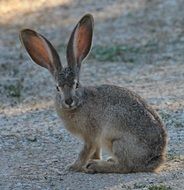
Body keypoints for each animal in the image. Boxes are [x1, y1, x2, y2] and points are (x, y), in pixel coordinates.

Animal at [19, 13, 167, 174]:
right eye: (57, 87)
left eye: (76, 84)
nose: (68, 101)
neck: (80, 102)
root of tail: (155, 158)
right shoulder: (94, 139)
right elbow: (95, 151)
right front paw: (89, 161)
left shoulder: (90, 135)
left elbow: (85, 151)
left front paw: (74, 166)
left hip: (117, 142)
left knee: (125, 166)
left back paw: (96, 166)